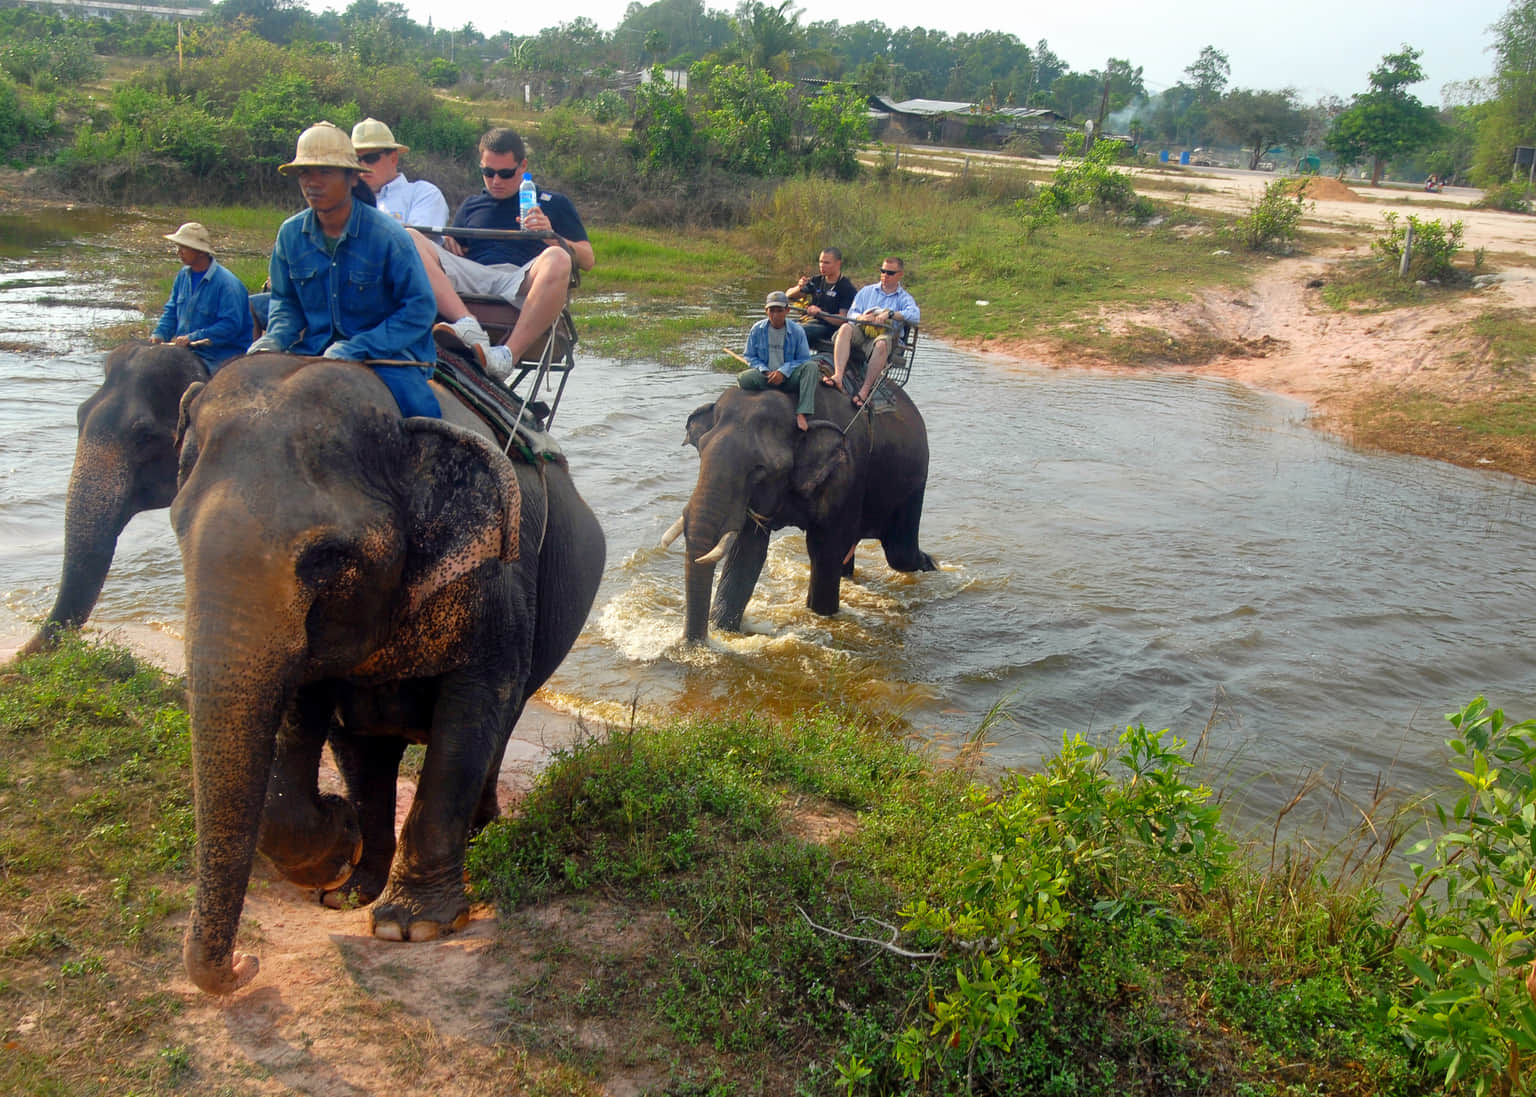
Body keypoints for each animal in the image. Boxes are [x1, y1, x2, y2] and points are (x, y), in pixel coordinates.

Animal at [170, 353, 604, 995]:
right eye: (177, 525)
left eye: (328, 557)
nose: (247, 965)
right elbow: (309, 714)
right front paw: (339, 858)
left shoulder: (500, 580)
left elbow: (475, 709)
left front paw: (411, 927)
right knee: (367, 749)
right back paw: (356, 887)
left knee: (501, 724)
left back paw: (480, 838)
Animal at [669, 382, 935, 643]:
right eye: (701, 450)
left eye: (760, 469)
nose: (694, 642)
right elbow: (748, 551)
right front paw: (723, 630)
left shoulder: (845, 474)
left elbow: (825, 550)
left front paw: (822, 616)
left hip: (914, 478)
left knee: (900, 554)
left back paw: (933, 566)